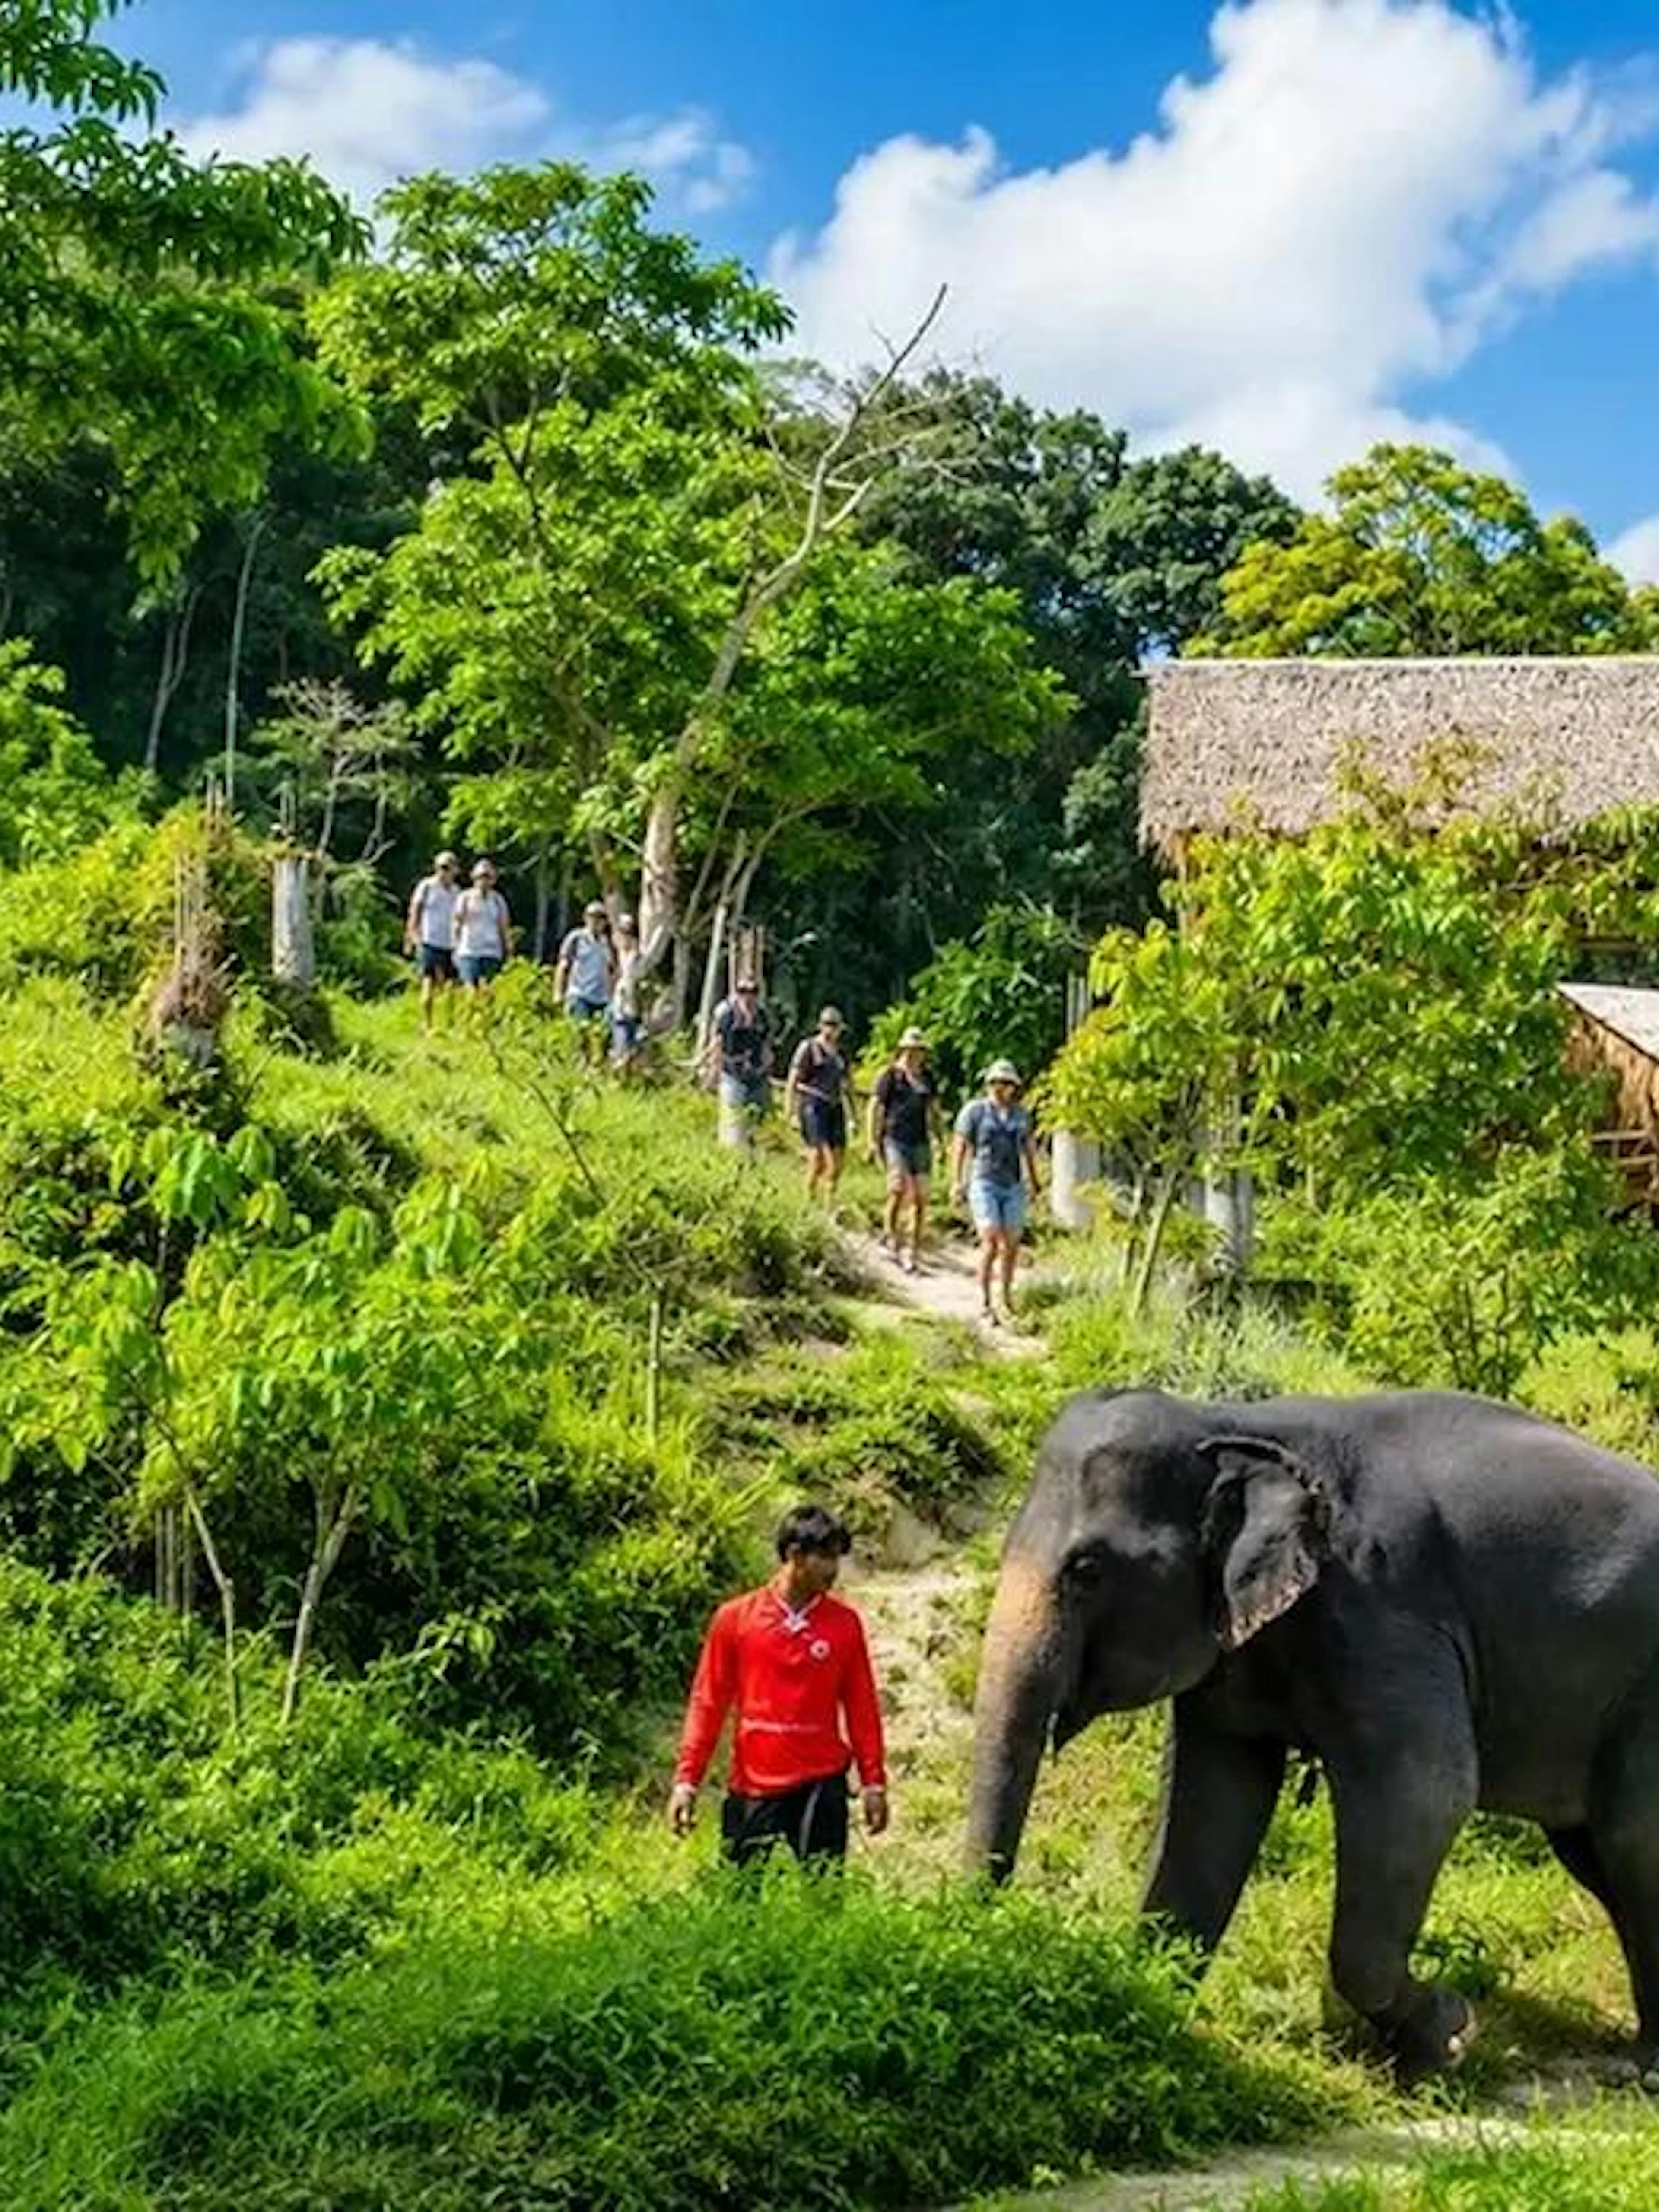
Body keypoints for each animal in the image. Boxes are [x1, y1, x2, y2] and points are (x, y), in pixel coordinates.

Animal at [967, 1385, 1659, 2077]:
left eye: (1087, 1570)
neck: (1238, 1424)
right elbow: (1215, 1801)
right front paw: (1147, 2005)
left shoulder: (1382, 1607)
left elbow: (1426, 1793)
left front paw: (1451, 2034)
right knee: (1597, 1856)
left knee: (1631, 1841)